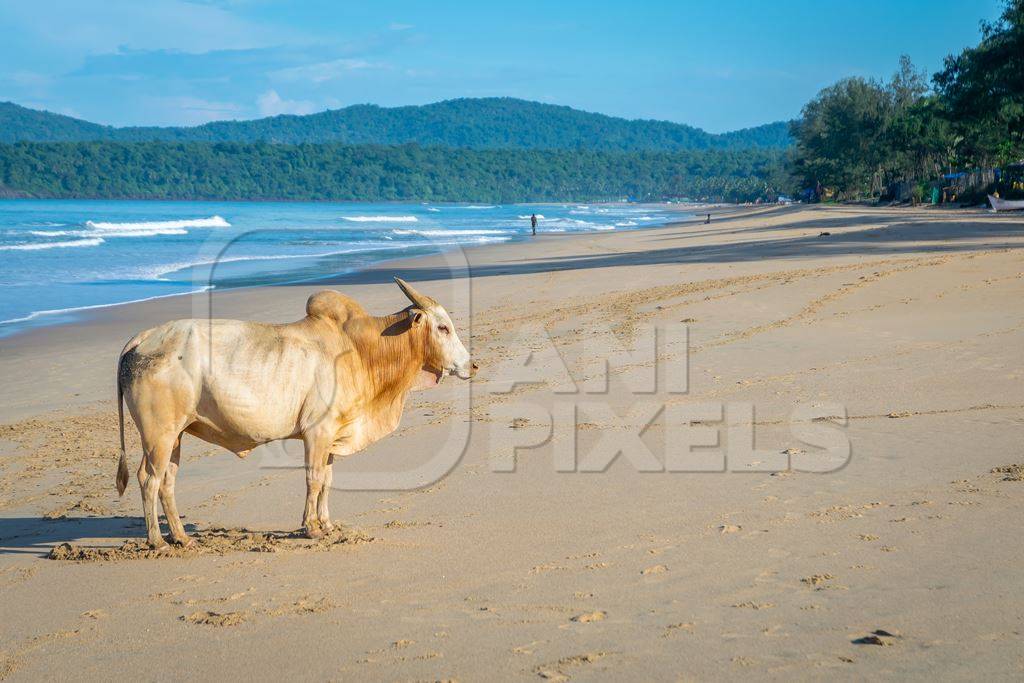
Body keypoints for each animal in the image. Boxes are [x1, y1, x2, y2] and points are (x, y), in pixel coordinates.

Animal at [116, 278, 475, 548]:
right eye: (443, 328)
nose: (472, 365)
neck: (362, 351)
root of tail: (140, 339)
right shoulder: (317, 431)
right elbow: (314, 479)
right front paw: (311, 527)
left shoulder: (332, 435)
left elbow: (327, 480)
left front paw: (327, 524)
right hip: (159, 434)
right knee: (149, 479)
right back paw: (157, 541)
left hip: (175, 435)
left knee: (167, 481)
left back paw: (180, 537)